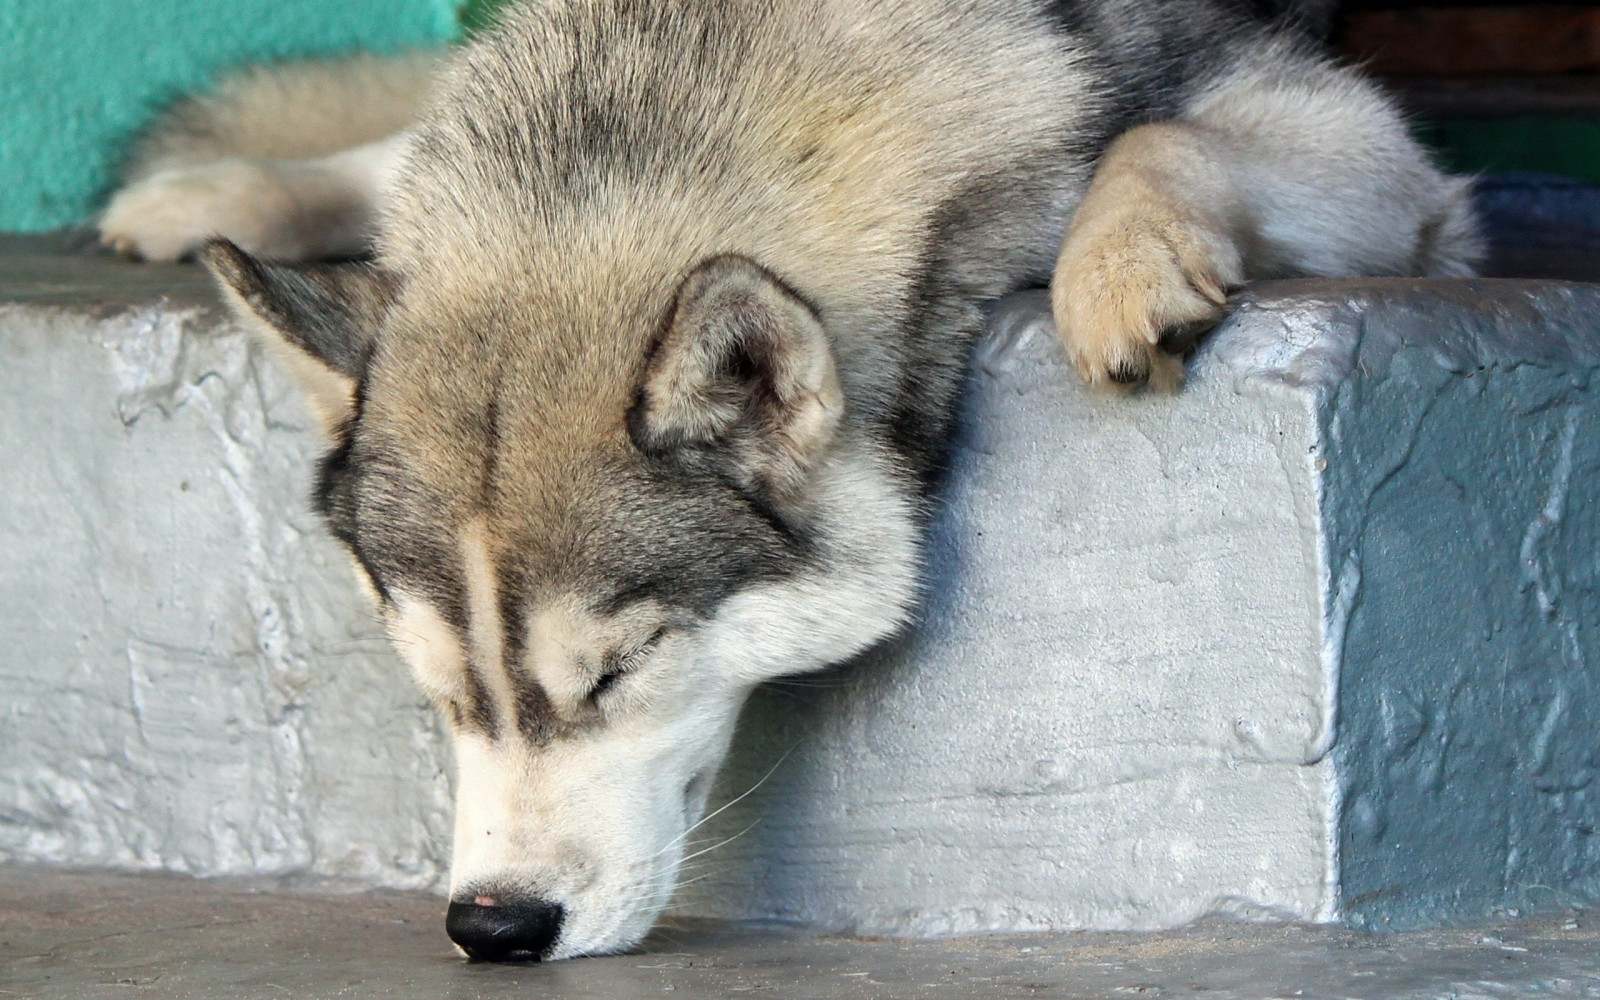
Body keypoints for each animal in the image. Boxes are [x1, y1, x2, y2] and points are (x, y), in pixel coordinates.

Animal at [98, 0, 1481, 961]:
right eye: (440, 688)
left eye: (621, 668)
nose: (493, 928)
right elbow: (401, 148)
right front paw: (250, 188)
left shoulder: (1377, 155)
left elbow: (1157, 129)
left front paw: (1121, 260)